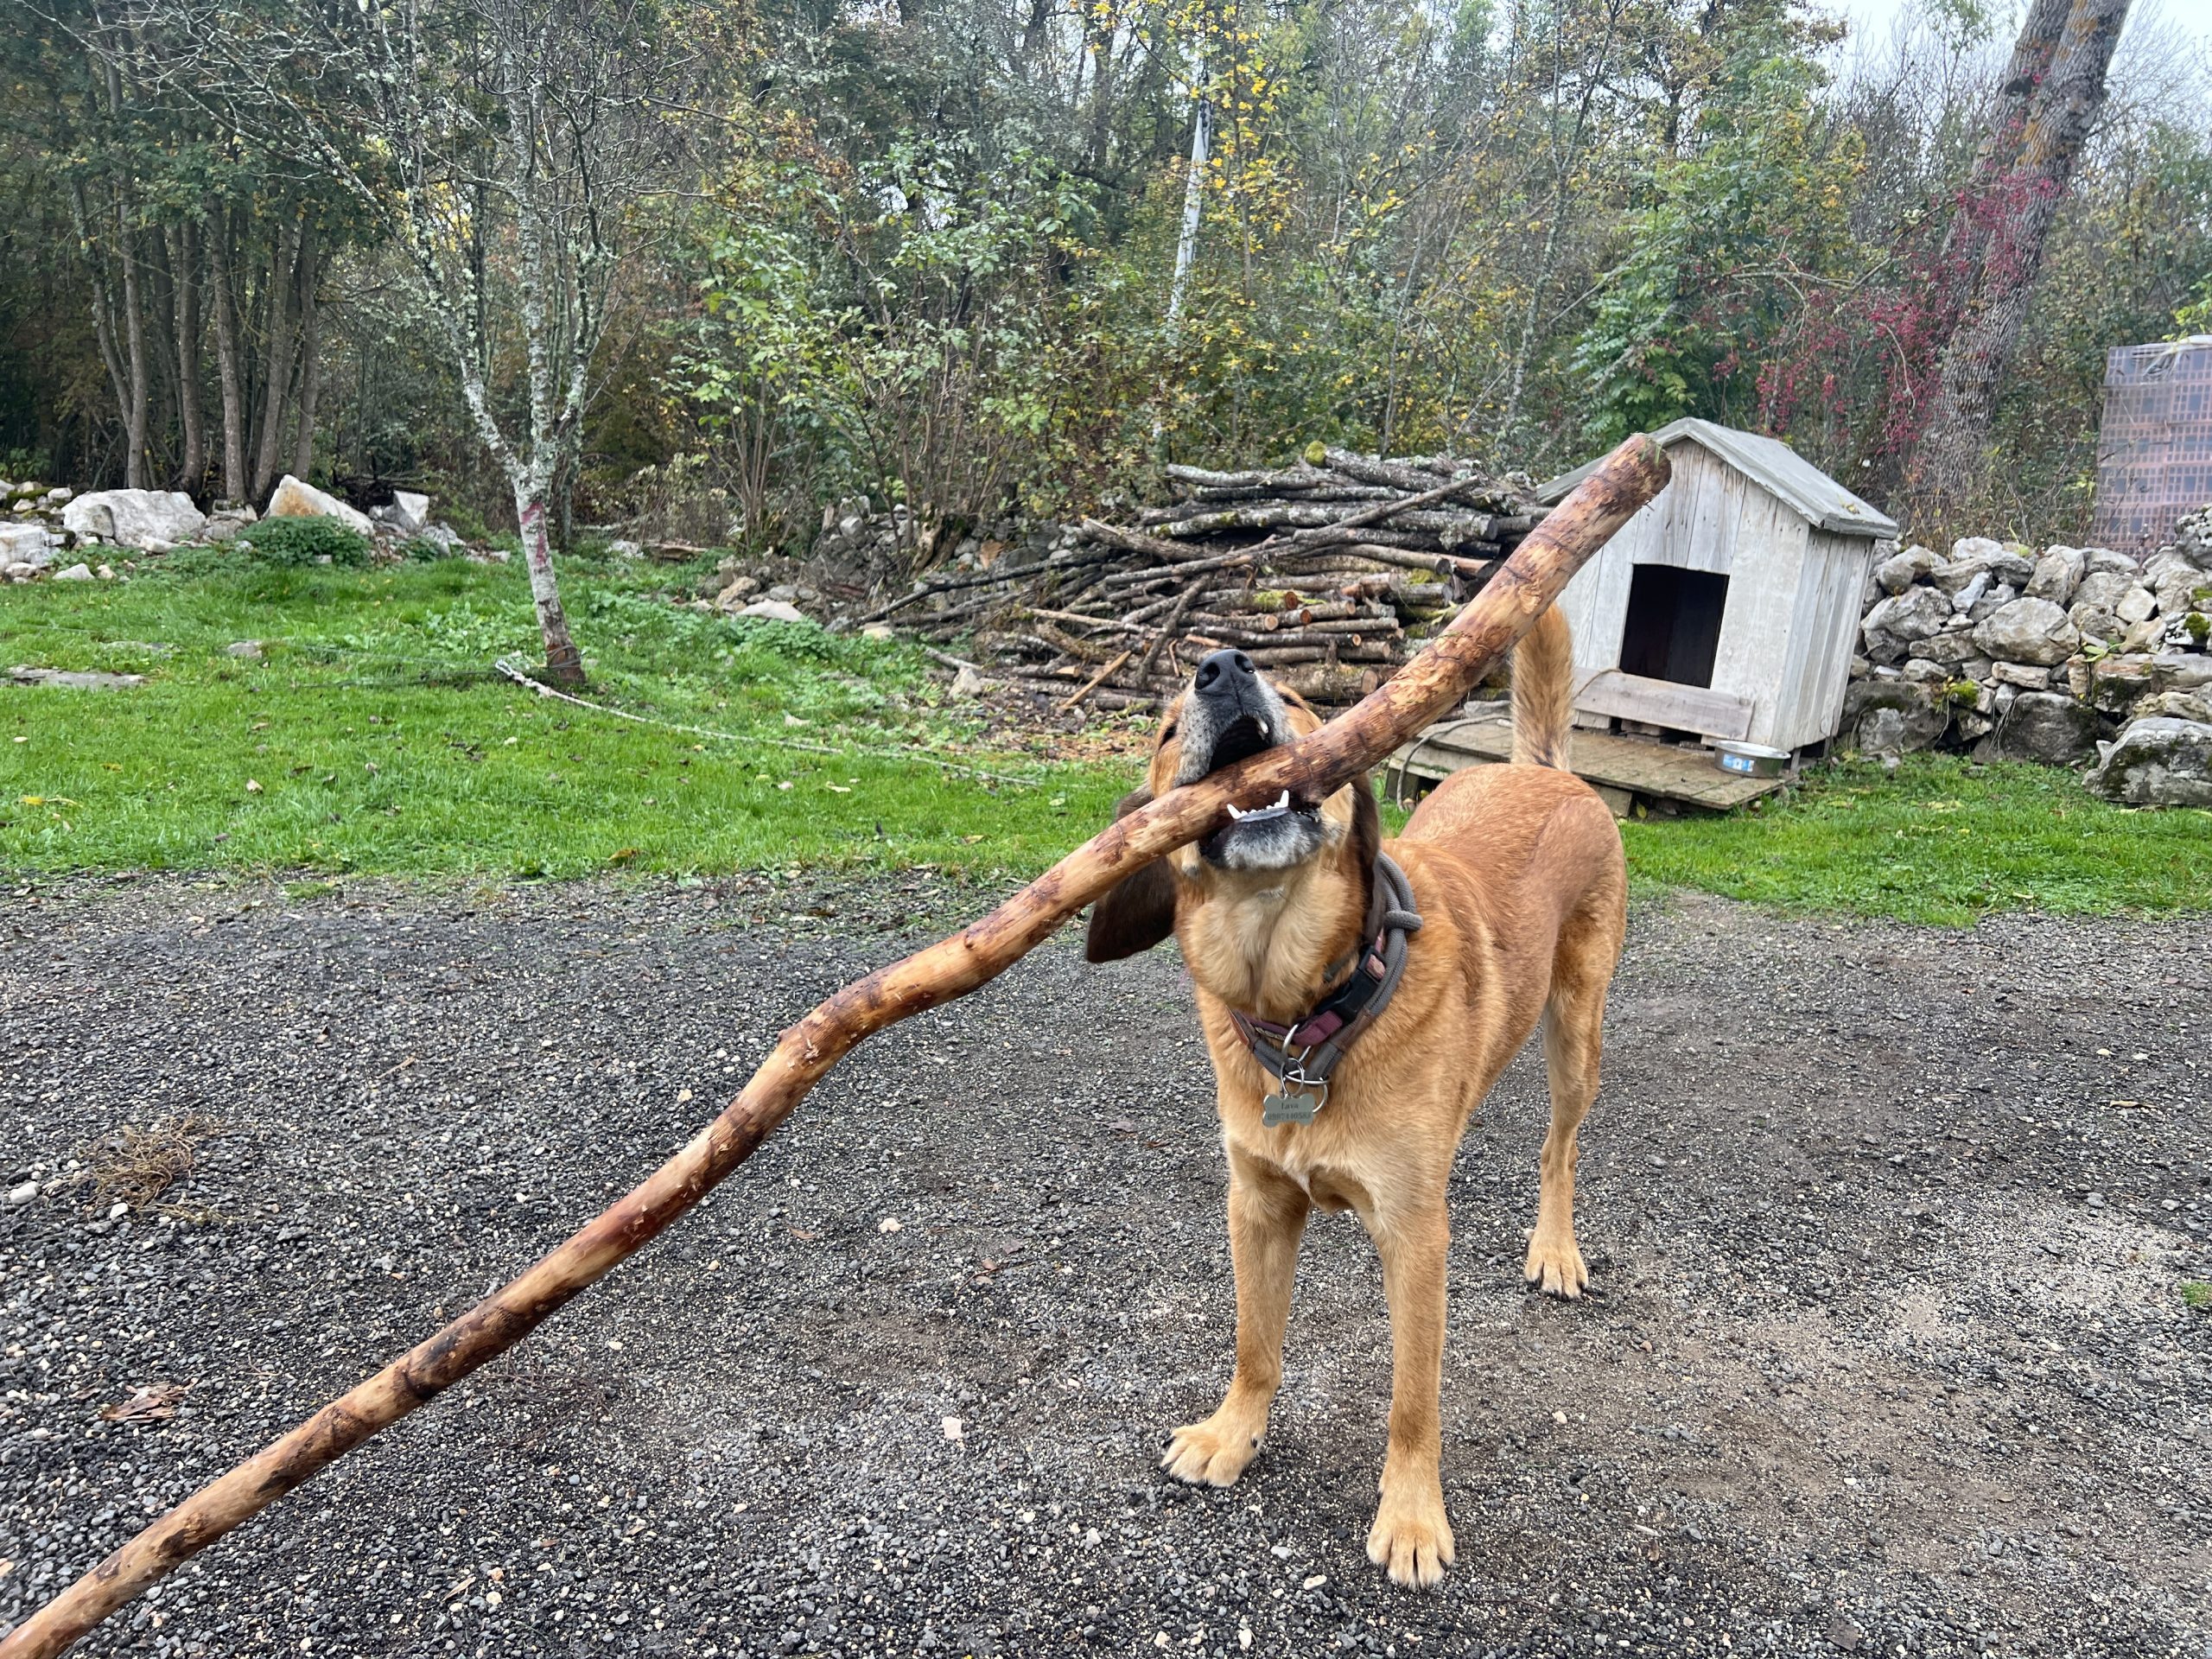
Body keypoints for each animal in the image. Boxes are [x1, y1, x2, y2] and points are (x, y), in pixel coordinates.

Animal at [1084, 606, 1628, 1583]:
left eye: (1302, 701)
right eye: (1167, 731)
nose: (1222, 667)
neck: (1304, 1009)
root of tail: (1542, 770)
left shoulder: (1414, 1237)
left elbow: (1413, 1397)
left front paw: (1411, 1518)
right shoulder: (1257, 1204)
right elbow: (1255, 1344)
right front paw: (1232, 1434)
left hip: (1577, 1033)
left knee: (1558, 1147)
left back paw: (1556, 1250)